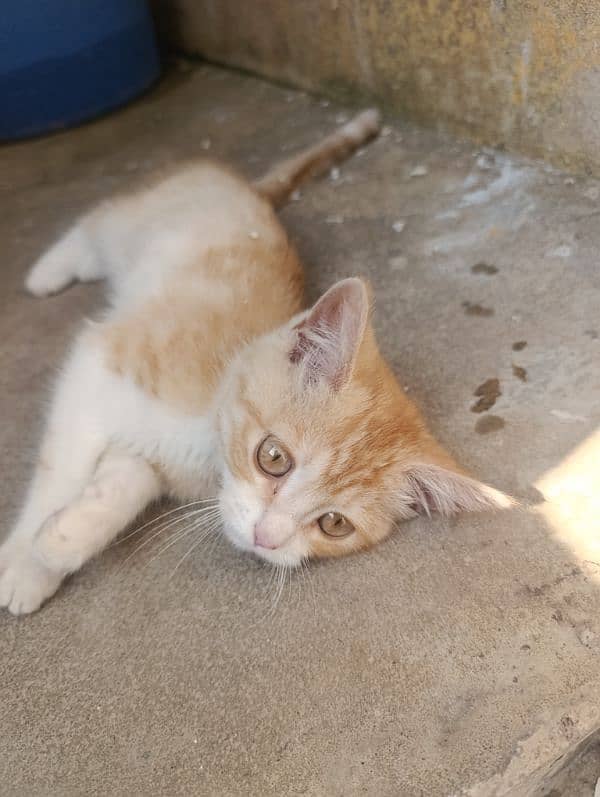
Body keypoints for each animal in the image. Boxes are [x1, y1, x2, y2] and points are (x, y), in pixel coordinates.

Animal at [0, 109, 508, 612]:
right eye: (273, 458)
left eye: (334, 524)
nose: (267, 537)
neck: (204, 432)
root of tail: (253, 191)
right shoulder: (97, 367)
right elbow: (59, 470)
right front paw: (25, 562)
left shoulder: (146, 450)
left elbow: (126, 481)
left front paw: (65, 538)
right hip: (140, 222)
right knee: (98, 221)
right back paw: (49, 269)